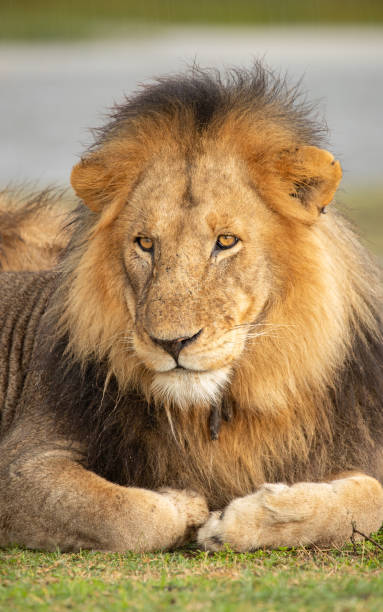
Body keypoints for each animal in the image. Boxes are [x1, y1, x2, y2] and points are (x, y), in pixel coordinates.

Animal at [0, 64, 383, 552]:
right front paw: (185, 505)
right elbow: (120, 514)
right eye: (145, 243)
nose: (173, 343)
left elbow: (368, 499)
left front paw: (245, 520)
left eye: (226, 241)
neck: (211, 415)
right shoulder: (21, 461)